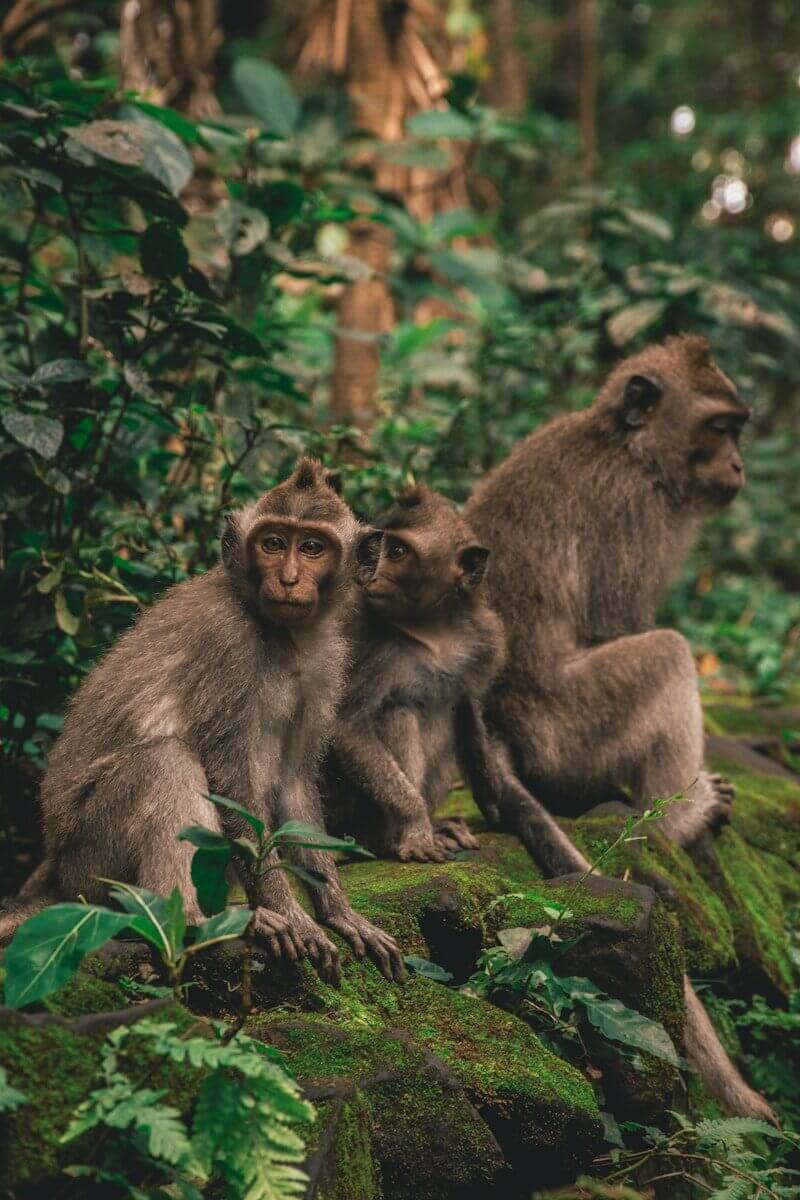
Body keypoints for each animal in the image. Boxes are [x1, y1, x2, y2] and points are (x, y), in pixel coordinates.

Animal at [0, 458, 404, 985]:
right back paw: (196, 921)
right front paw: (290, 913)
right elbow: (231, 783)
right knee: (164, 761)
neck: (282, 635)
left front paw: (338, 912)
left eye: (312, 547)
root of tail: (56, 873)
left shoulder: (326, 665)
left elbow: (294, 784)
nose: (289, 579)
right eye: (273, 543)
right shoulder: (227, 645)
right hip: (90, 859)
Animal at [322, 484, 590, 878]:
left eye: (397, 551)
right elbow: (348, 726)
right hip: (347, 815)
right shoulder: (377, 649)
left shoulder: (486, 638)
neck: (434, 631)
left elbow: (467, 705)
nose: (370, 574)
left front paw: (492, 792)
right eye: (379, 547)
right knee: (399, 710)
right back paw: (395, 838)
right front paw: (416, 823)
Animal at [464, 333, 777, 1122]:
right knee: (664, 651)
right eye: (720, 427)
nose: (739, 466)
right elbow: (619, 623)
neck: (624, 446)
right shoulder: (637, 514)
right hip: (574, 731)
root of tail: (492, 720)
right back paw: (677, 817)